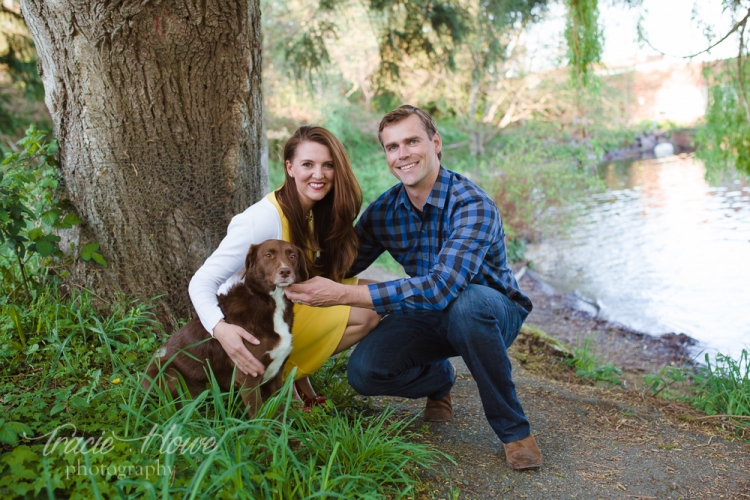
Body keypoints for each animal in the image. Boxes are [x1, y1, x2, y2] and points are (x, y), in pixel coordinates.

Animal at [144, 240, 308, 416]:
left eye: (292, 256)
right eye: (268, 255)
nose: (285, 271)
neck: (270, 302)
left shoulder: (275, 375)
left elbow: (277, 413)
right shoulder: (248, 377)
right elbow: (259, 416)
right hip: (169, 375)